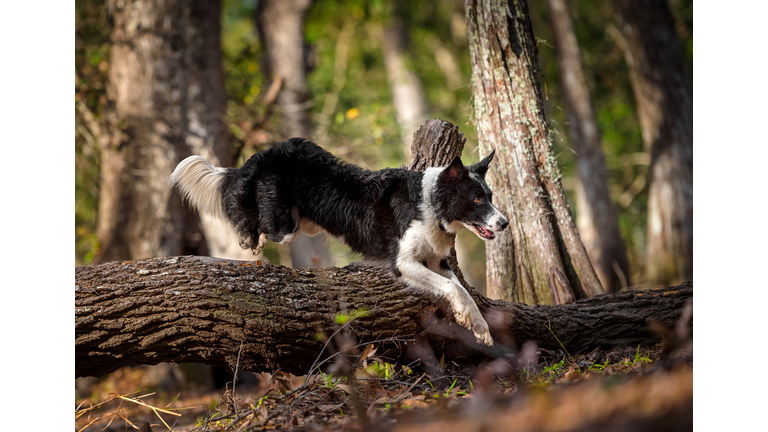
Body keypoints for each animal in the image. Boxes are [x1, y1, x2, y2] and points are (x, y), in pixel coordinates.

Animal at [175, 138, 510, 344]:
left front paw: (480, 328)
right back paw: (250, 240)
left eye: (490, 196)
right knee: (258, 223)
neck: (429, 202)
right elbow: (453, 288)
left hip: (304, 223)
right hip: (284, 224)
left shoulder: (435, 262)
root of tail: (260, 157)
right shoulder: (402, 263)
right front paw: (467, 317)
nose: (504, 223)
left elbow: (462, 289)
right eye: (476, 199)